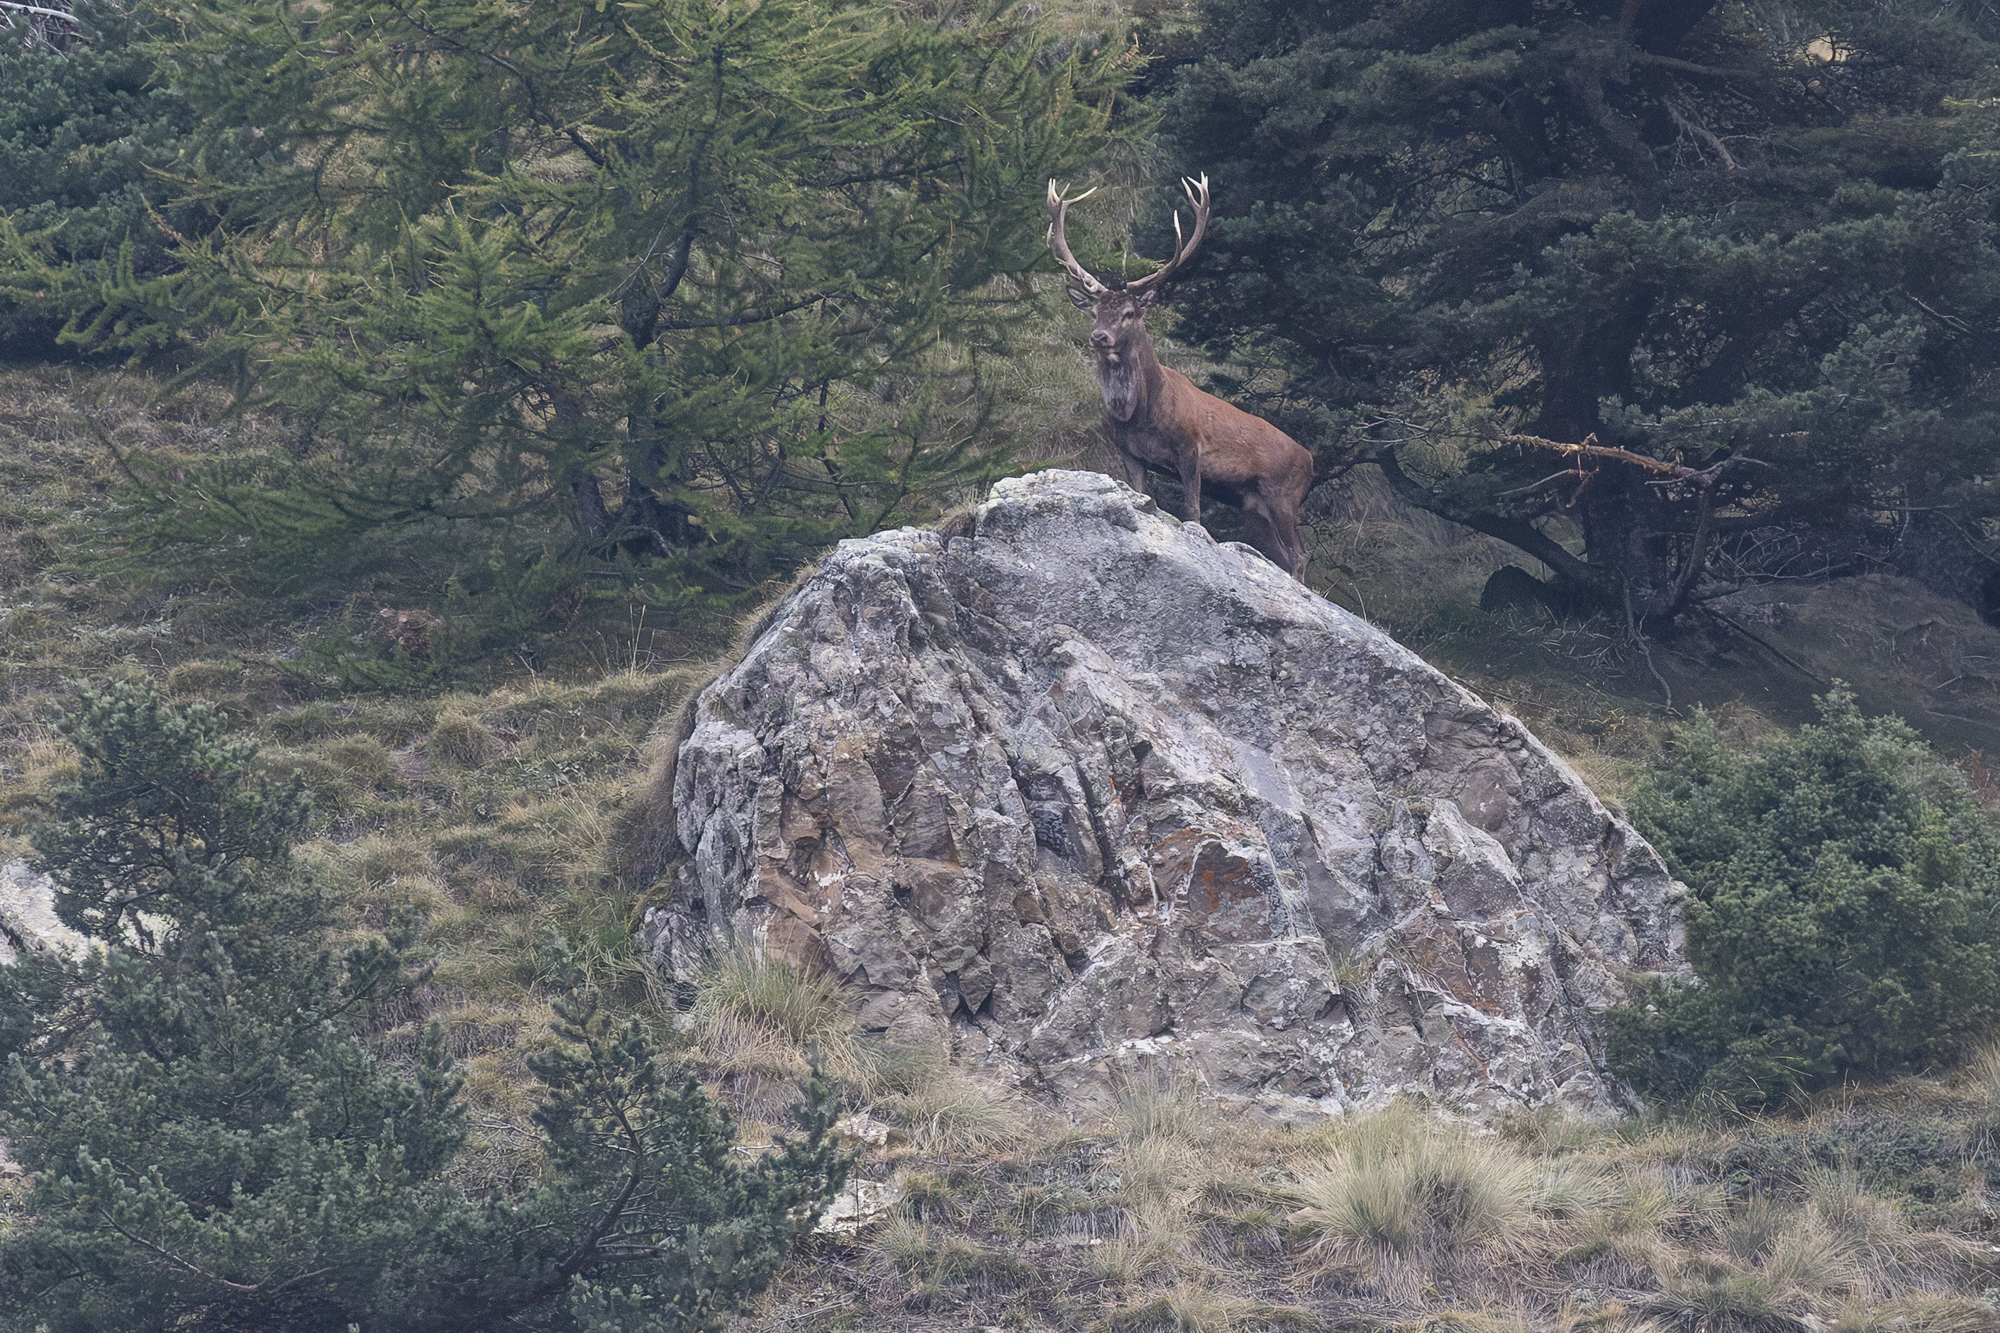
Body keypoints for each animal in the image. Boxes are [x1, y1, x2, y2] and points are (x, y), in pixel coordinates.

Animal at [1047, 174, 1314, 579]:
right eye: (1094, 312)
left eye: (1129, 313)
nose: (1099, 337)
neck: (1140, 415)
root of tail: (1312, 463)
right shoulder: (1129, 453)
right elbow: (1146, 496)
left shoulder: (1191, 447)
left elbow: (1193, 512)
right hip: (1254, 507)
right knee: (1281, 554)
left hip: (1284, 496)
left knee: (1300, 555)